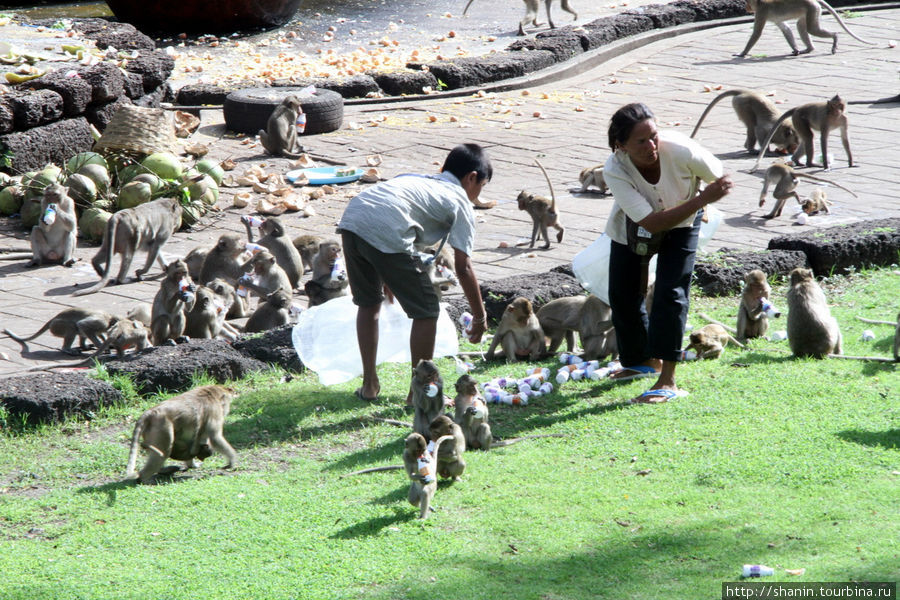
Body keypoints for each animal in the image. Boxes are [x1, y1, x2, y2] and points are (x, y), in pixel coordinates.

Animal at [736, 0, 876, 58]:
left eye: (747, 2)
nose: (746, 7)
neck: (760, 2)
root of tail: (813, 0)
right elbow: (786, 29)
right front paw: (795, 49)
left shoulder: (761, 12)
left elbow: (757, 33)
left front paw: (742, 53)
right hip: (810, 11)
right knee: (801, 26)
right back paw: (809, 49)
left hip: (813, 9)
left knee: (812, 29)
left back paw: (835, 37)